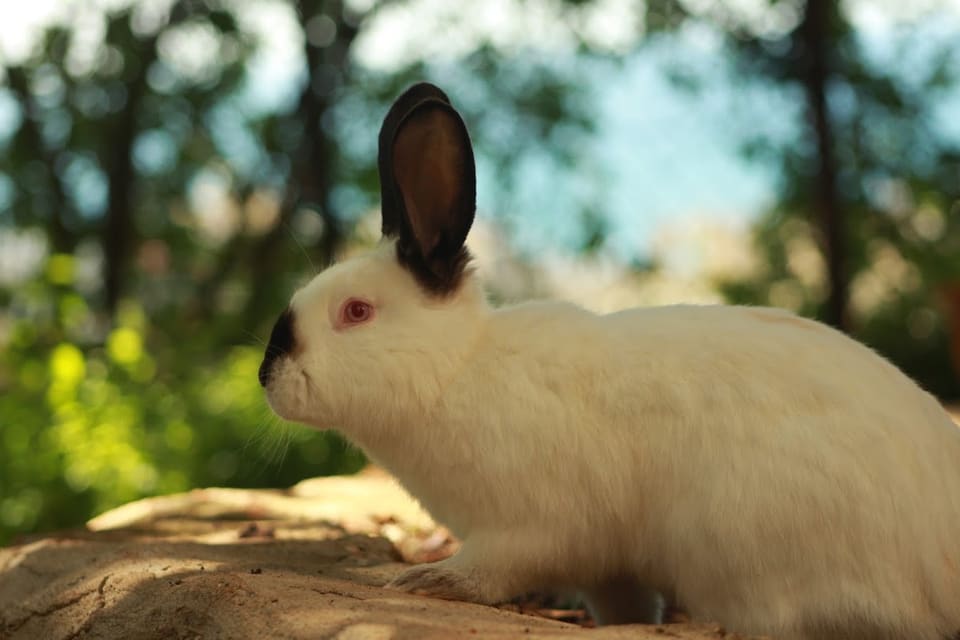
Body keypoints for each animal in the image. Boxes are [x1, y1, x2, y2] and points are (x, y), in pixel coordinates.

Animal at [258, 82, 960, 640]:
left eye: (356, 312)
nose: (268, 378)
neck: (455, 370)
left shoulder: (528, 530)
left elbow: (490, 573)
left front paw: (424, 581)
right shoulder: (607, 569)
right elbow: (623, 605)